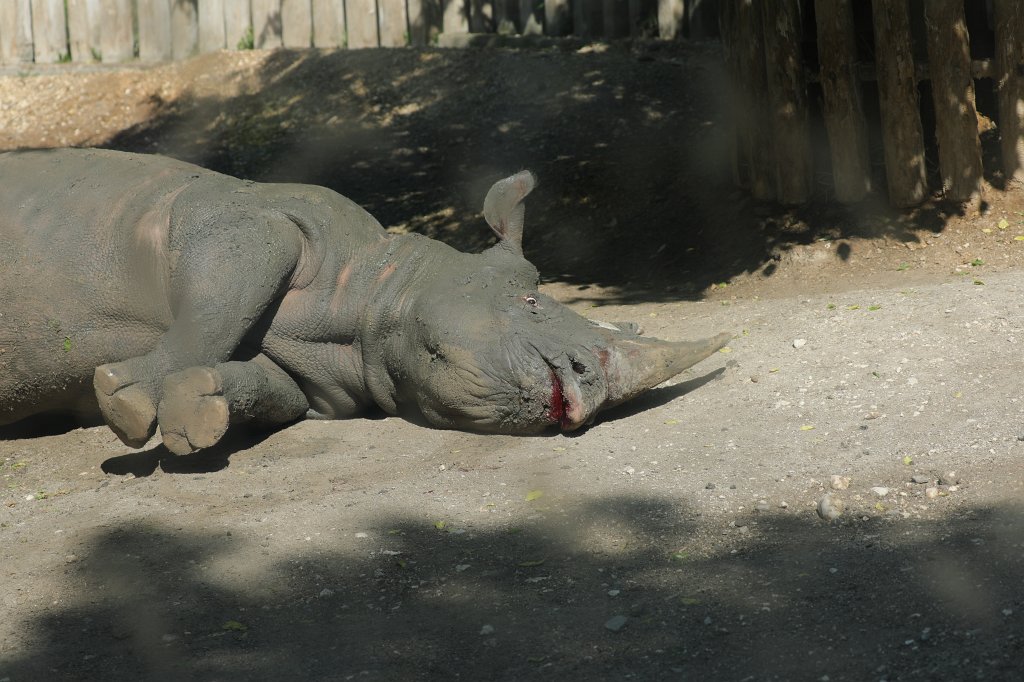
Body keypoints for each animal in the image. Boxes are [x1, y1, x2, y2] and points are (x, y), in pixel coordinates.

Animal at [0, 148, 728, 454]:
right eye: (530, 302)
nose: (589, 392)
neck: (371, 294)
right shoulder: (249, 223)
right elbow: (215, 311)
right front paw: (123, 399)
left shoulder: (317, 383)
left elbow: (263, 387)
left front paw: (196, 413)